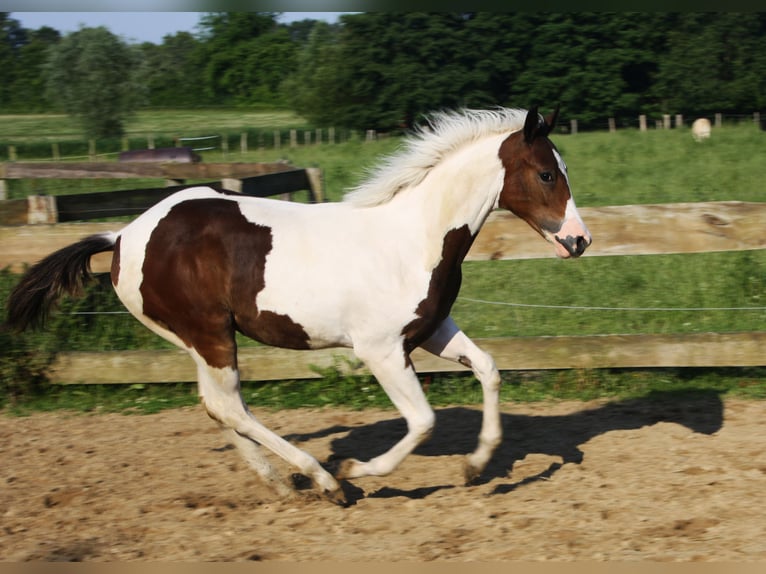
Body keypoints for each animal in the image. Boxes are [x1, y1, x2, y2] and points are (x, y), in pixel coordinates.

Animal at [7, 107, 592, 504]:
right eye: (547, 174)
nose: (580, 241)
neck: (413, 238)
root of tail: (124, 235)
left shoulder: (431, 330)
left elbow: (489, 369)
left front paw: (475, 466)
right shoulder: (380, 349)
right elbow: (423, 420)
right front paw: (359, 470)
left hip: (196, 339)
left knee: (216, 406)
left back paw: (282, 482)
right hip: (210, 333)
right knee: (230, 406)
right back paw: (326, 480)